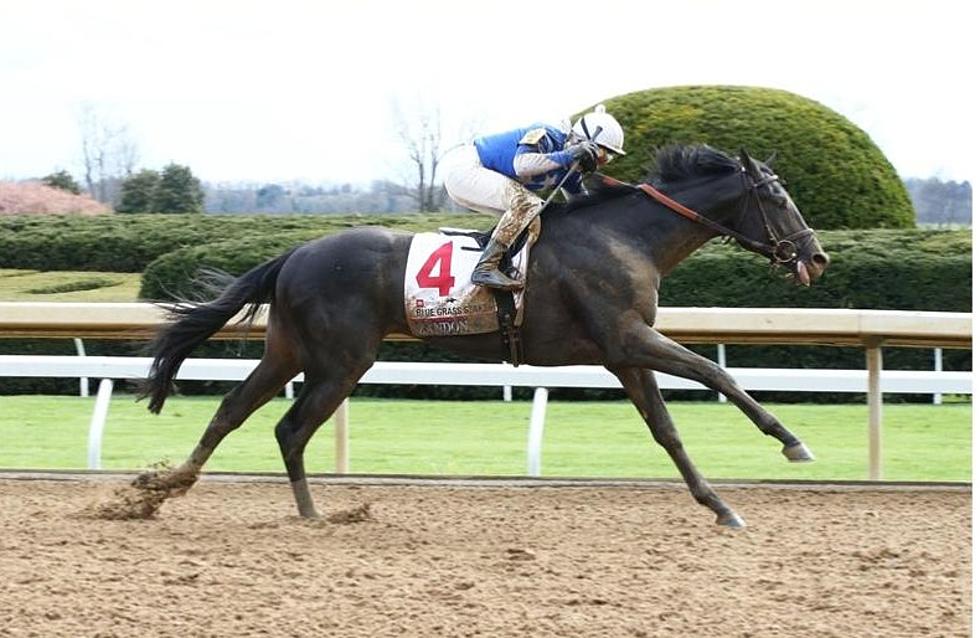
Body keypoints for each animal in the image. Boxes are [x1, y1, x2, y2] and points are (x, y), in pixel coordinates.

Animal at [138, 146, 828, 528]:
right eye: (779, 198)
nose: (816, 257)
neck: (623, 237)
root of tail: (294, 254)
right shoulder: (627, 339)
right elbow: (717, 373)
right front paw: (792, 441)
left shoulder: (622, 353)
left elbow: (668, 431)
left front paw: (720, 506)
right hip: (341, 361)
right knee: (289, 427)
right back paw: (309, 513)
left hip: (288, 350)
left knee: (232, 409)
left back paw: (164, 488)